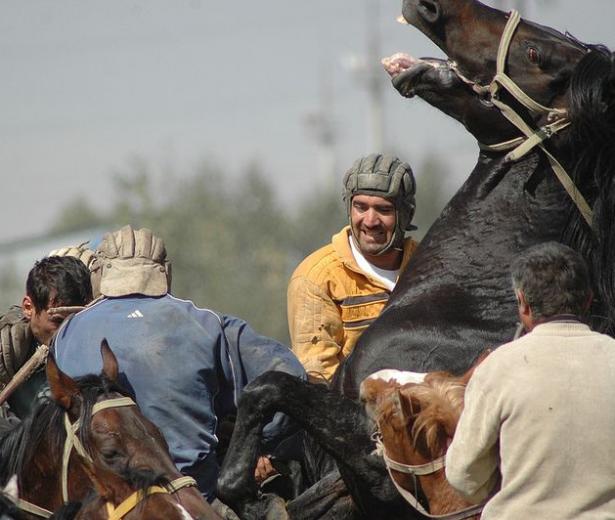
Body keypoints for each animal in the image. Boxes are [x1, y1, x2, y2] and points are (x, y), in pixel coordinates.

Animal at [219, 2, 612, 516]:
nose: (435, 7)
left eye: (535, 54)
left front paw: (245, 490)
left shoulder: (381, 454)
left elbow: (268, 388)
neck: (472, 298)